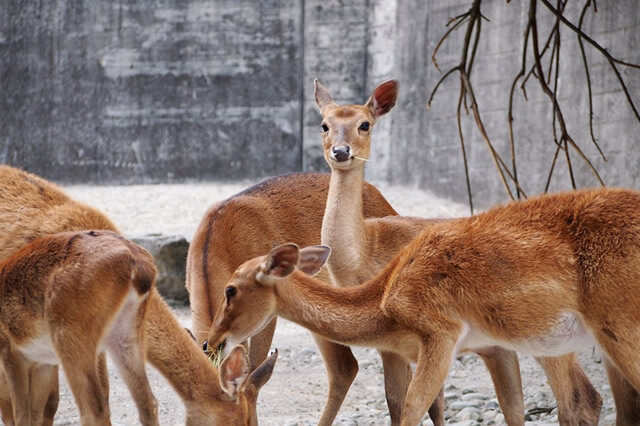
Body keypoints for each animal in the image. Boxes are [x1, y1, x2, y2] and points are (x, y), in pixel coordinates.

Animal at [208, 188, 640, 426]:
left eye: (231, 289)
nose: (213, 341)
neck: (385, 299)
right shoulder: (491, 348)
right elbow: (511, 409)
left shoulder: (441, 334)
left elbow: (412, 409)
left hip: (613, 328)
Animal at [310, 78, 640, 424]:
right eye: (324, 124)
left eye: (365, 124)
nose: (341, 151)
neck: (364, 253)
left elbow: (408, 401)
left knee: (581, 396)